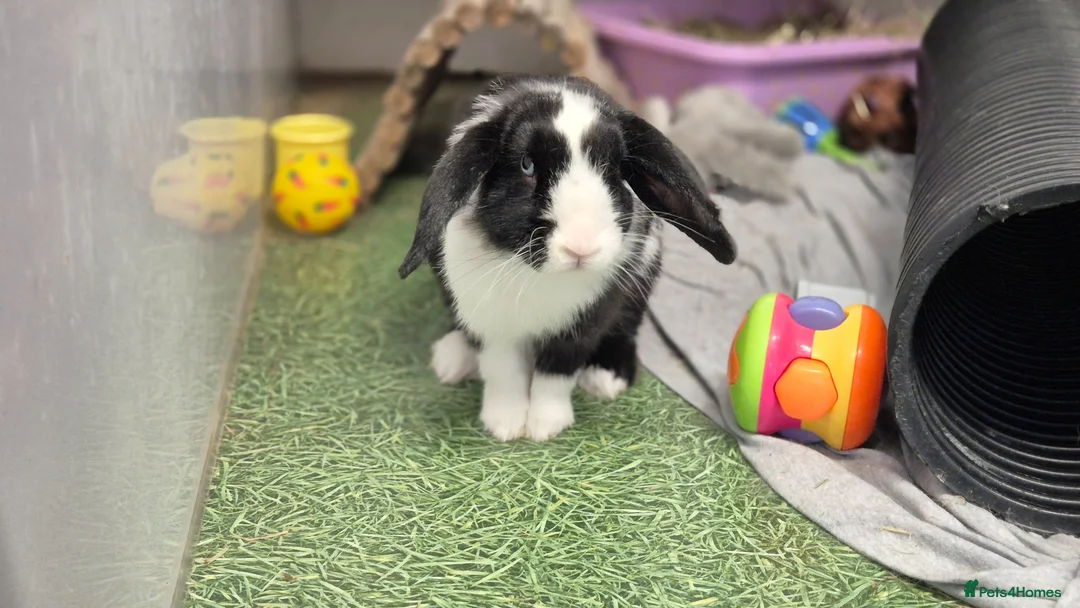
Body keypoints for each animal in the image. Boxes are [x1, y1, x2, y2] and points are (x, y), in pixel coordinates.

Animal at [398, 74, 737, 442]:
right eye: (527, 165)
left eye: (616, 169)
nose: (581, 248)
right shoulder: (491, 324)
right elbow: (503, 372)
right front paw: (505, 425)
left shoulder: (583, 324)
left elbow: (556, 372)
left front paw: (545, 426)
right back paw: (453, 360)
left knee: (627, 329)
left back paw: (606, 378)